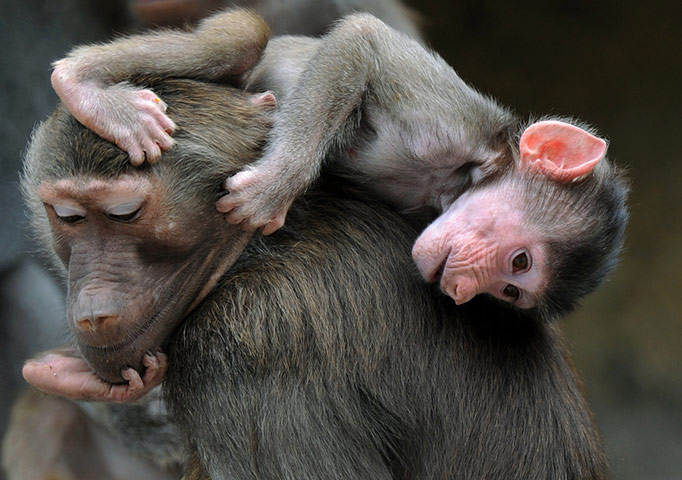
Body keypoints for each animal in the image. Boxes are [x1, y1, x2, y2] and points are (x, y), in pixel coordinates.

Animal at [50, 9, 629, 319]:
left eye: (510, 290)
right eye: (520, 262)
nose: (463, 291)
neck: (452, 183)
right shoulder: (457, 124)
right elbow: (360, 38)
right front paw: (274, 190)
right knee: (244, 34)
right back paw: (82, 85)